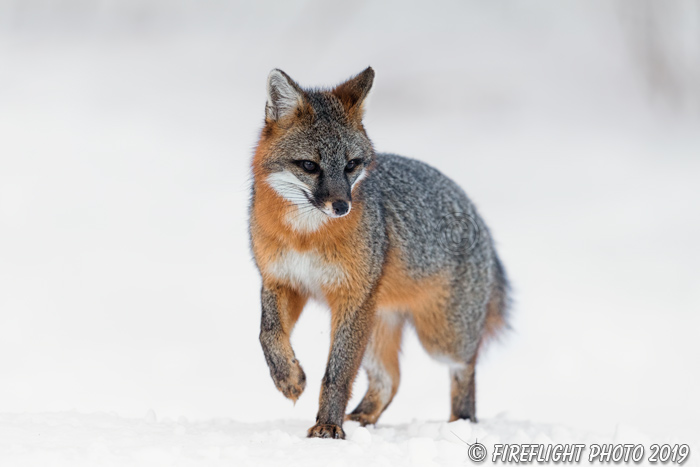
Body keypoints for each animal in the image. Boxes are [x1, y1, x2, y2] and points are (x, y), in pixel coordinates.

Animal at [249, 67, 512, 440]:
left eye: (351, 165)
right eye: (310, 166)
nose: (341, 206)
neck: (305, 236)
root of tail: (476, 213)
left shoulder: (351, 297)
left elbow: (338, 373)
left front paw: (328, 425)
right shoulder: (281, 281)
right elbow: (268, 334)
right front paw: (288, 378)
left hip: (440, 339)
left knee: (465, 368)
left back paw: (459, 423)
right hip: (377, 325)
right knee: (390, 380)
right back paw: (362, 418)